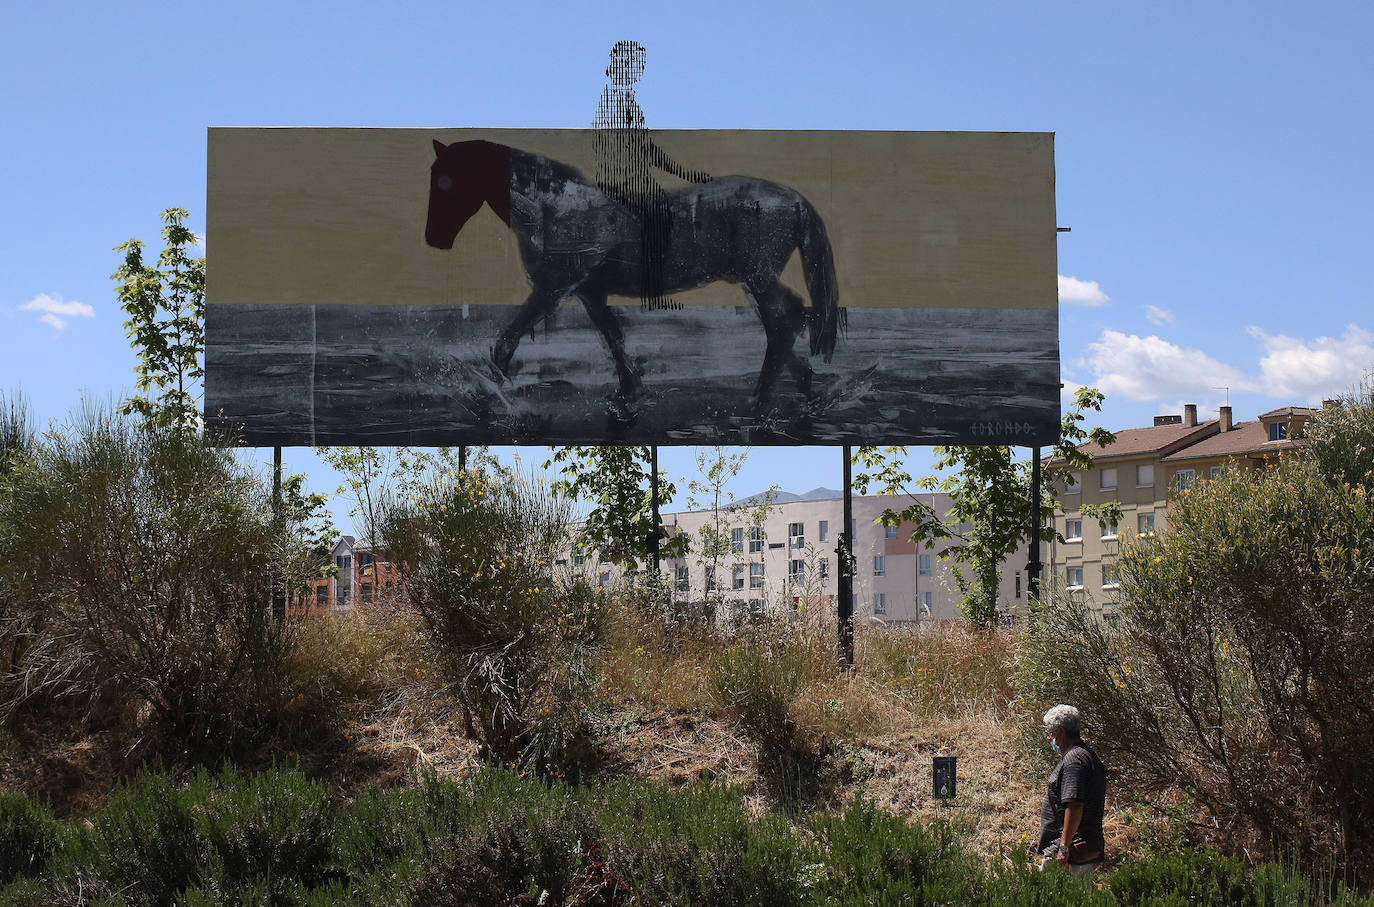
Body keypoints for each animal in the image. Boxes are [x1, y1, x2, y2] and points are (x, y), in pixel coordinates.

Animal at [425, 140, 835, 409]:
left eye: (448, 180)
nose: (433, 239)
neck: (557, 208)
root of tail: (793, 198)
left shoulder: (553, 288)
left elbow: (508, 339)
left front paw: (487, 391)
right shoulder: (589, 293)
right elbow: (614, 339)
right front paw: (628, 393)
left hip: (757, 279)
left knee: (783, 323)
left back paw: (764, 399)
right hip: (752, 282)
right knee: (787, 321)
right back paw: (800, 389)